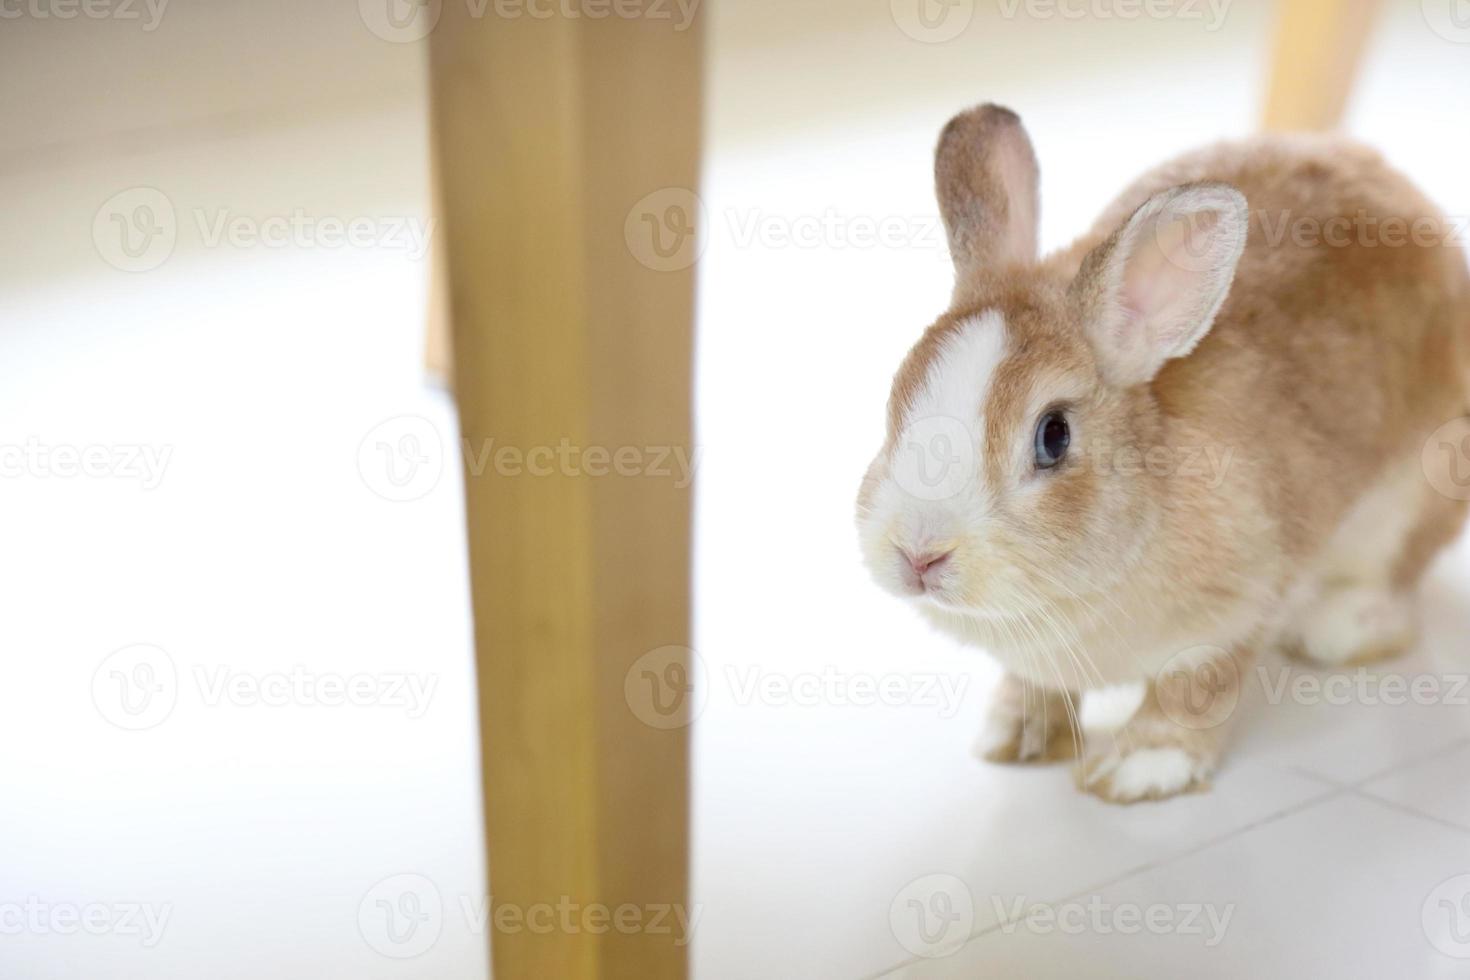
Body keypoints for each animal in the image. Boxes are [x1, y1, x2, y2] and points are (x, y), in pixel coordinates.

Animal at [858, 101, 1464, 805]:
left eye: (1053, 436)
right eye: (897, 397)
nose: (918, 555)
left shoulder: (1231, 615)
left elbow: (1194, 692)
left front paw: (1140, 770)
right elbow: (1035, 689)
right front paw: (1013, 739)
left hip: (1410, 503)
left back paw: (1336, 628)